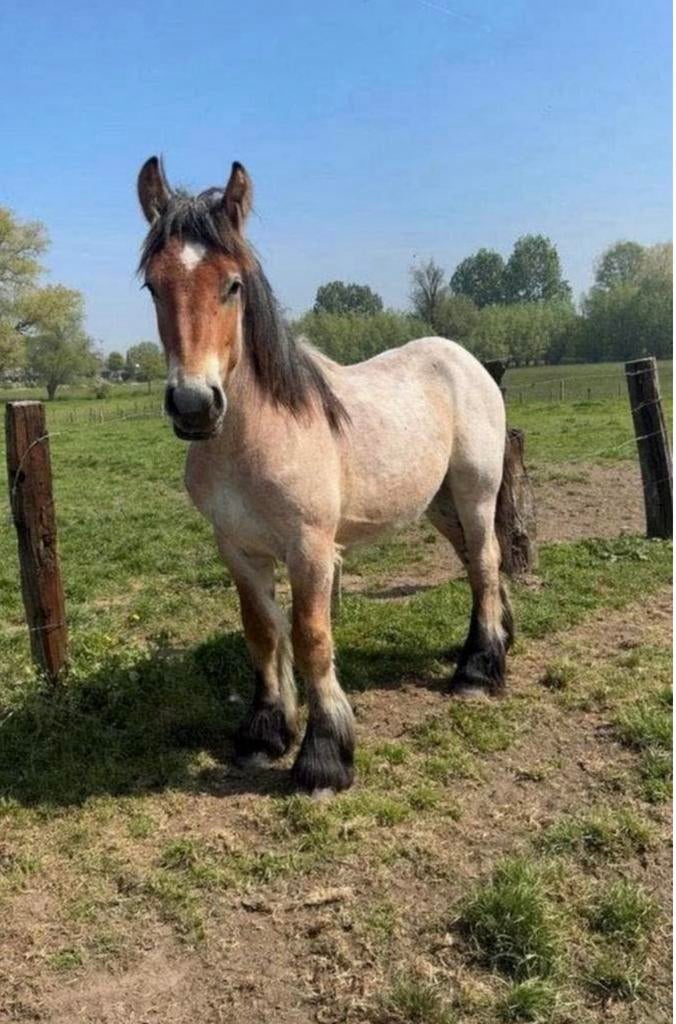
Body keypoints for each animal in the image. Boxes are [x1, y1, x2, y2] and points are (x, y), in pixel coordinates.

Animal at [136, 157, 514, 796]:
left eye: (233, 284)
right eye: (153, 286)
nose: (194, 406)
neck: (256, 437)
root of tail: (467, 360)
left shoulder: (310, 549)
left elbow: (312, 639)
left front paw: (323, 758)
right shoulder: (237, 549)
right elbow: (262, 634)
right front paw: (264, 735)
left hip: (475, 491)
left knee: (486, 562)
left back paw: (477, 672)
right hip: (439, 503)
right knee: (473, 563)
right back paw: (494, 644)